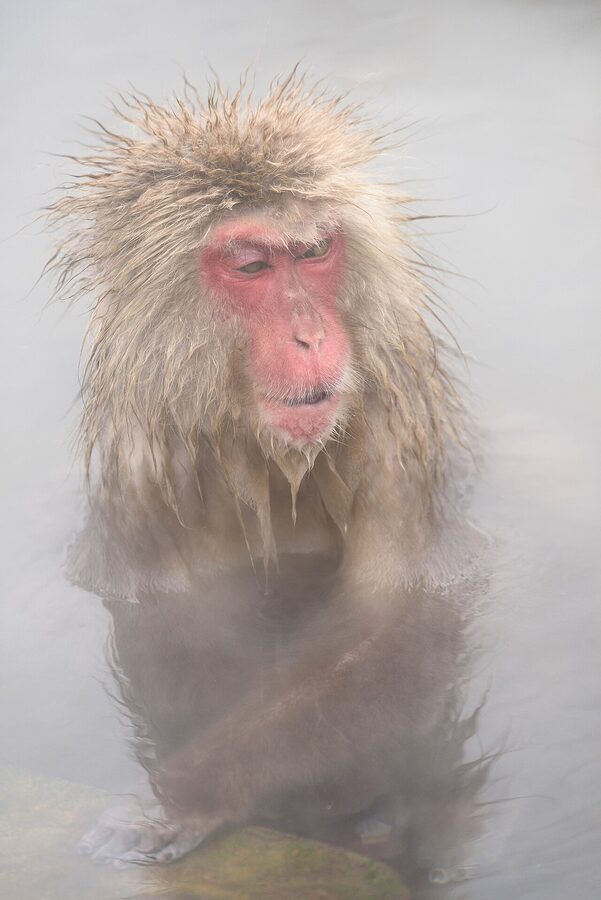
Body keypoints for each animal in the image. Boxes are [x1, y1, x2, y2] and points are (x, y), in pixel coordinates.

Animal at [48, 73, 489, 890]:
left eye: (313, 251)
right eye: (252, 266)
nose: (310, 337)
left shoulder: (395, 435)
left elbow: (397, 625)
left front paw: (192, 795)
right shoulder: (145, 472)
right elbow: (177, 624)